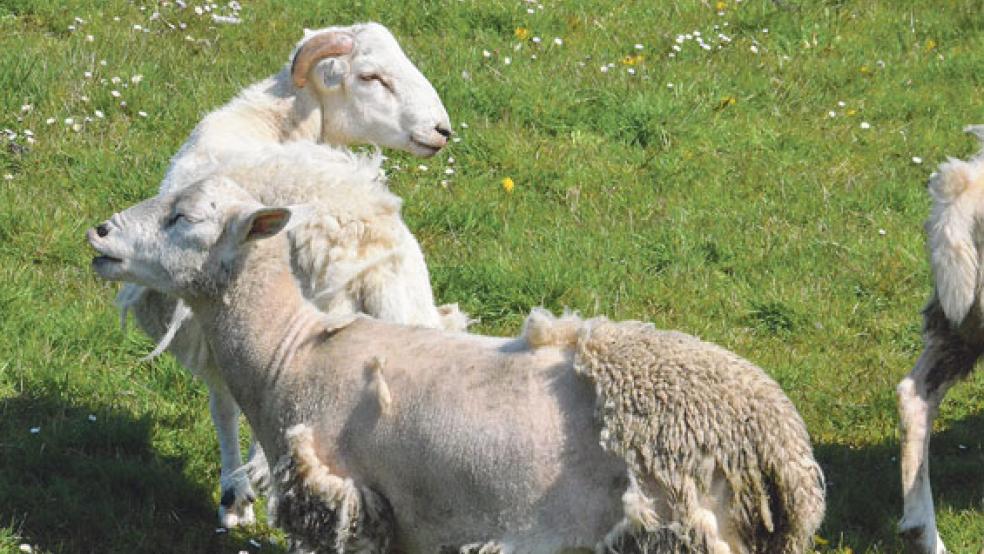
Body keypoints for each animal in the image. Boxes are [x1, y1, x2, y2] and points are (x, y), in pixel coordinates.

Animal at [117, 22, 461, 527]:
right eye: (371, 76)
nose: (442, 131)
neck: (270, 123)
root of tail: (368, 249)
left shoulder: (215, 323)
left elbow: (224, 407)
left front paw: (235, 495)